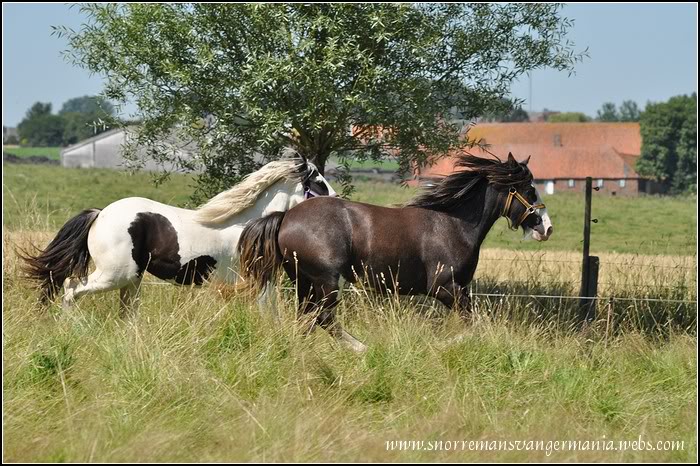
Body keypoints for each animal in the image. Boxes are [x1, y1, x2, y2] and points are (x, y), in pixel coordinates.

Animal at [23, 155, 334, 314]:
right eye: (319, 182)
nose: (335, 201)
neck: (247, 225)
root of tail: (100, 214)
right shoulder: (252, 280)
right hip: (115, 275)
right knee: (71, 289)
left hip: (131, 280)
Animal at [239, 153, 552, 350]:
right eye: (529, 189)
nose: (546, 228)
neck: (454, 224)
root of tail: (285, 217)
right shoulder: (443, 287)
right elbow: (471, 324)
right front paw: (440, 346)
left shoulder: (461, 287)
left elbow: (471, 322)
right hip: (325, 280)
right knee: (323, 318)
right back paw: (362, 348)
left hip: (304, 281)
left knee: (308, 318)